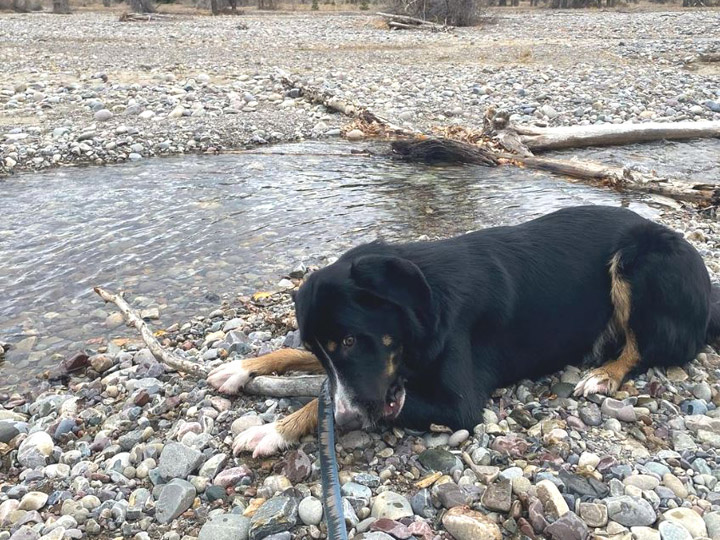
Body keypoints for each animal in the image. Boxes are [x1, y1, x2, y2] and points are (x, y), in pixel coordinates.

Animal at [208, 206, 720, 456]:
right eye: (326, 348)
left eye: (352, 340)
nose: (350, 422)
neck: (428, 301)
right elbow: (301, 364)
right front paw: (242, 367)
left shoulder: (458, 405)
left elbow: (324, 401)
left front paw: (273, 430)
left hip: (639, 258)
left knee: (647, 346)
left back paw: (605, 374)